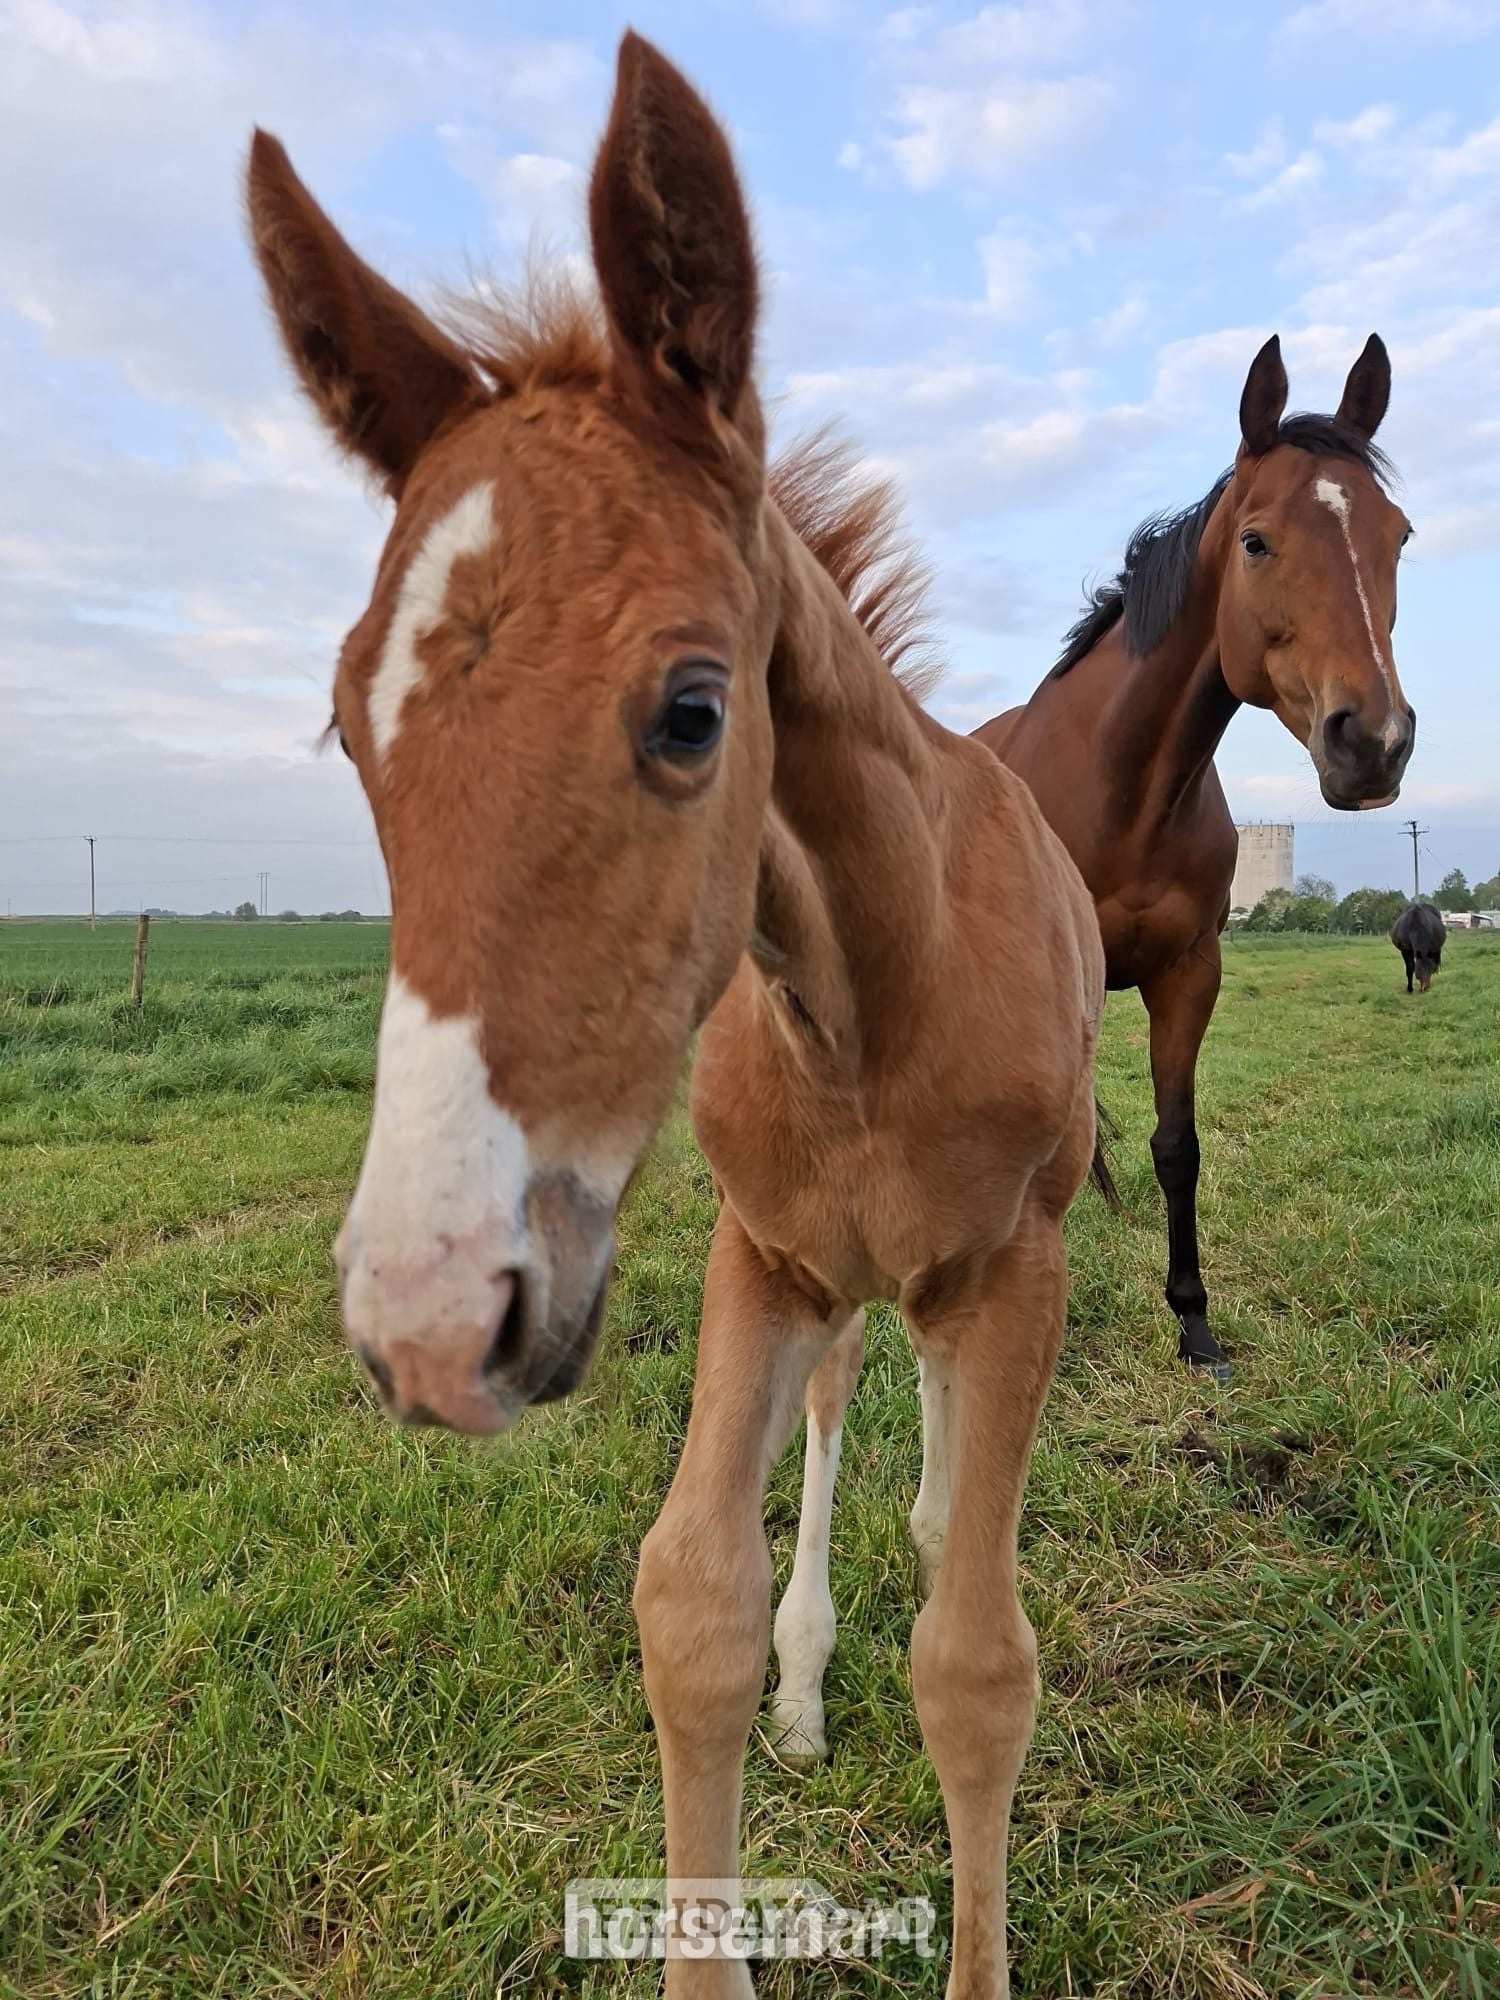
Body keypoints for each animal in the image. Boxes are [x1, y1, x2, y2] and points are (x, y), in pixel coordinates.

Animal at [248, 34, 1103, 1997]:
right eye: (351, 723)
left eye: (694, 710)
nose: (428, 1321)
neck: (871, 1010)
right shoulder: (757, 1257)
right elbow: (687, 1607)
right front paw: (770, 1686)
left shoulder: (1012, 1263)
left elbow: (981, 1662)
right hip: (828, 1276)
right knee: (853, 1401)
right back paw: (812, 1676)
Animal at [972, 338, 1416, 1378]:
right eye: (1255, 541)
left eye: (1401, 536)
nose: (1373, 742)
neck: (1125, 787)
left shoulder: (1189, 971)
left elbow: (1178, 1144)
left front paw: (1194, 1320)